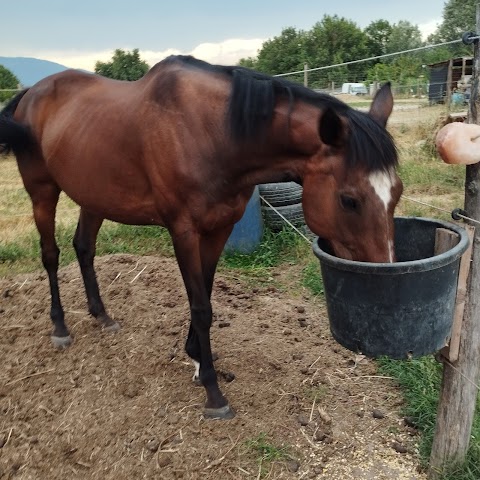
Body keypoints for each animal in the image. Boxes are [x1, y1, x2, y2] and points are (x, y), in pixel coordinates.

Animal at [0, 54, 402, 418]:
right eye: (349, 200)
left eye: (396, 192)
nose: (382, 278)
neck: (214, 133)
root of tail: (31, 93)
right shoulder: (184, 231)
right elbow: (200, 306)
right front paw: (212, 390)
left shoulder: (220, 228)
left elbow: (205, 294)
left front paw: (195, 356)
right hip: (42, 192)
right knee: (51, 255)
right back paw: (59, 326)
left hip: (94, 196)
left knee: (84, 248)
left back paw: (102, 315)